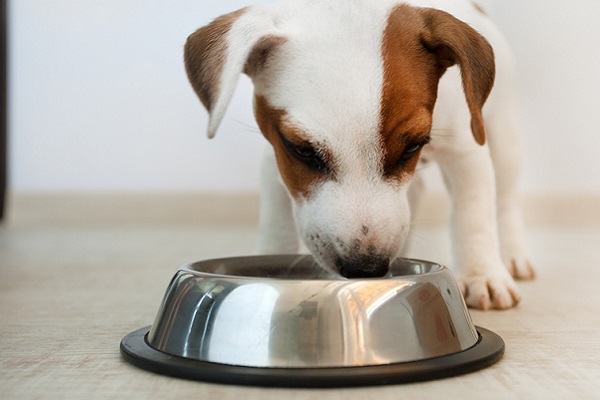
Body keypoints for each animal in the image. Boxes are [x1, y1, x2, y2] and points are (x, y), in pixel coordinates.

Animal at [183, 0, 536, 310]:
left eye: (413, 145)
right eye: (303, 151)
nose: (367, 268)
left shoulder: (464, 148)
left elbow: (473, 215)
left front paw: (482, 274)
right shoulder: (277, 158)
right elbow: (278, 222)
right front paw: (269, 257)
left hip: (503, 137)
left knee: (505, 200)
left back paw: (512, 256)